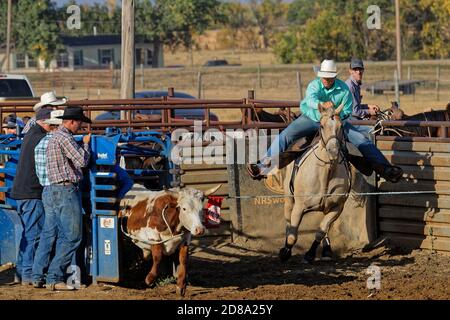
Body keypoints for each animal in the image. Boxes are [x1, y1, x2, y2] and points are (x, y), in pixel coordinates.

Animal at [278, 104, 352, 264]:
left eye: (341, 126)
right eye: (322, 126)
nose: (333, 151)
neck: (326, 173)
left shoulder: (337, 208)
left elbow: (321, 231)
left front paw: (310, 254)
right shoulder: (299, 207)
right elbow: (293, 236)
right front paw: (285, 252)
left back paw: (326, 250)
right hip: (289, 198)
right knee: (288, 221)